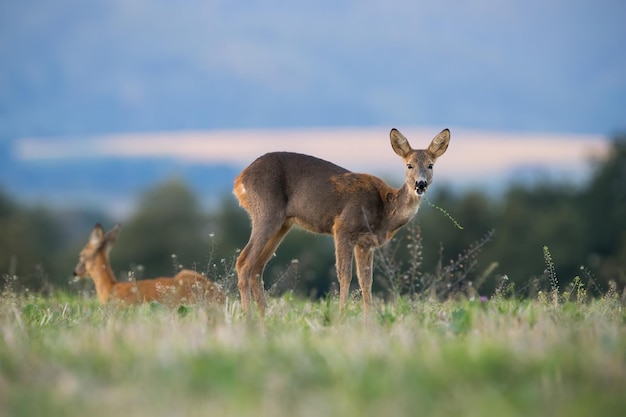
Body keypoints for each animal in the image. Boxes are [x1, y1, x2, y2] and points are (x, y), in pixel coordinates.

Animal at [234, 128, 448, 314]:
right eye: (409, 165)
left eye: (431, 165)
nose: (420, 184)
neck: (385, 210)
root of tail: (239, 180)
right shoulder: (343, 228)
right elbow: (345, 275)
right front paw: (342, 314)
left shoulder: (365, 244)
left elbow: (366, 280)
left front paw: (369, 318)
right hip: (266, 212)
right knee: (243, 262)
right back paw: (248, 317)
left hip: (282, 224)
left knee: (257, 267)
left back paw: (264, 316)